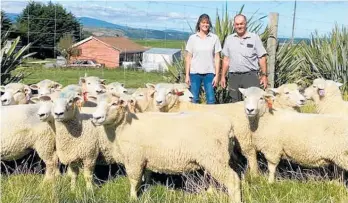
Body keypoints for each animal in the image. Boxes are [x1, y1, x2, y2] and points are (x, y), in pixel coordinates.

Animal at [91, 93, 241, 203]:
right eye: (96, 104)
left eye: (114, 103)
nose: (96, 118)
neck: (124, 126)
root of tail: (228, 126)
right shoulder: (145, 157)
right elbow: (146, 175)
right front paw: (146, 189)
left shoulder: (134, 159)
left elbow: (134, 180)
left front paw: (132, 197)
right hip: (214, 159)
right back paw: (209, 194)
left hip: (215, 158)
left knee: (233, 180)